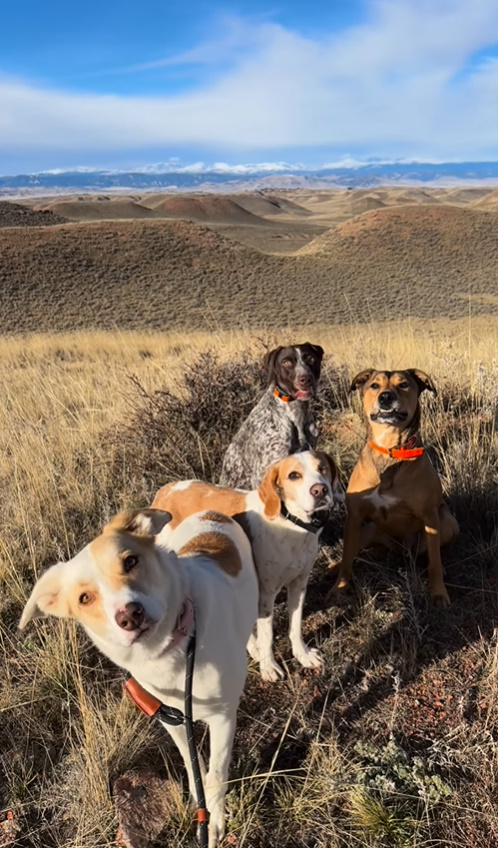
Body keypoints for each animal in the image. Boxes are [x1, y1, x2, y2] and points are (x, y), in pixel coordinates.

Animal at [19, 506, 256, 844]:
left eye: (130, 561)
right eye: (84, 598)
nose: (130, 615)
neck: (173, 649)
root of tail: (211, 512)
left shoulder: (223, 717)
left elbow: (215, 775)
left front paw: (214, 823)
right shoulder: (172, 720)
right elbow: (192, 765)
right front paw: (200, 805)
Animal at [154, 450, 344, 684]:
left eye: (322, 468)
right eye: (294, 475)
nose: (320, 490)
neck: (290, 522)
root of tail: (166, 490)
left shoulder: (299, 584)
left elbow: (296, 625)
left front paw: (302, 655)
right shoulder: (266, 593)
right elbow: (267, 634)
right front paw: (268, 666)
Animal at [334, 368, 460, 608]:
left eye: (403, 385)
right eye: (374, 385)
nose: (385, 397)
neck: (389, 448)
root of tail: (401, 550)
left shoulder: (430, 516)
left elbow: (435, 562)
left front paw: (439, 593)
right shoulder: (354, 517)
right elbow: (345, 560)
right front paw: (340, 588)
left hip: (447, 522)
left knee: (432, 554)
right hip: (366, 531)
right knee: (350, 552)